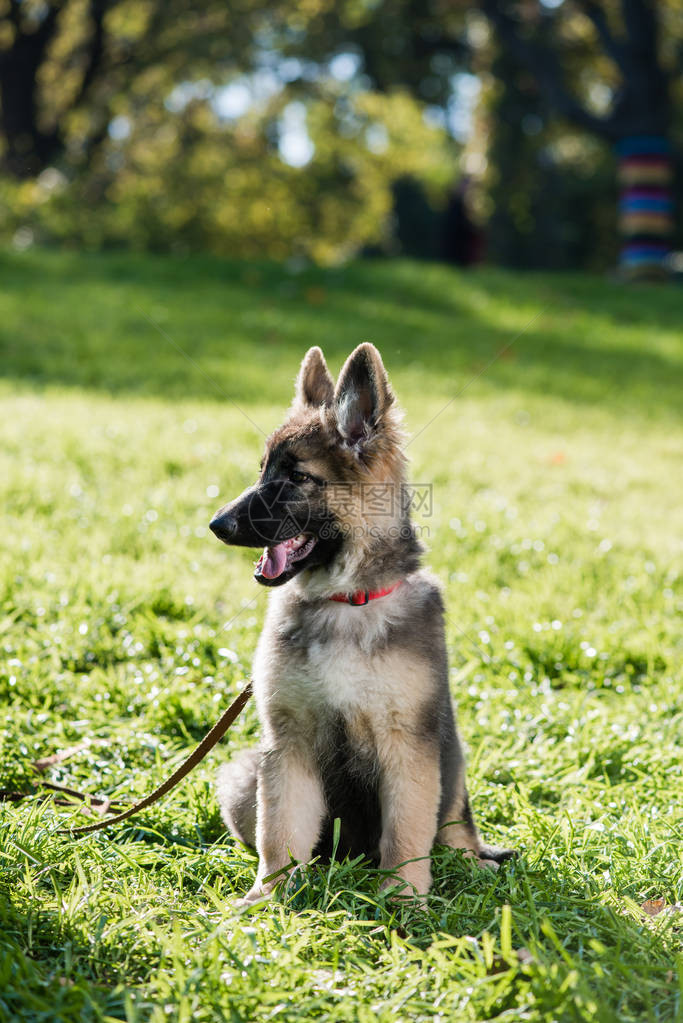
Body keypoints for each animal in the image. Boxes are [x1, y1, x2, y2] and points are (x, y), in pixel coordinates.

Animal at [208, 343, 511, 904]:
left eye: (297, 478)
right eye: (262, 471)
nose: (217, 524)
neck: (346, 602)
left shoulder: (409, 747)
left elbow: (409, 833)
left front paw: (404, 898)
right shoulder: (288, 743)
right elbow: (279, 830)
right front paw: (269, 897)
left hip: (451, 758)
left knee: (456, 822)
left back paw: (472, 862)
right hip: (243, 775)